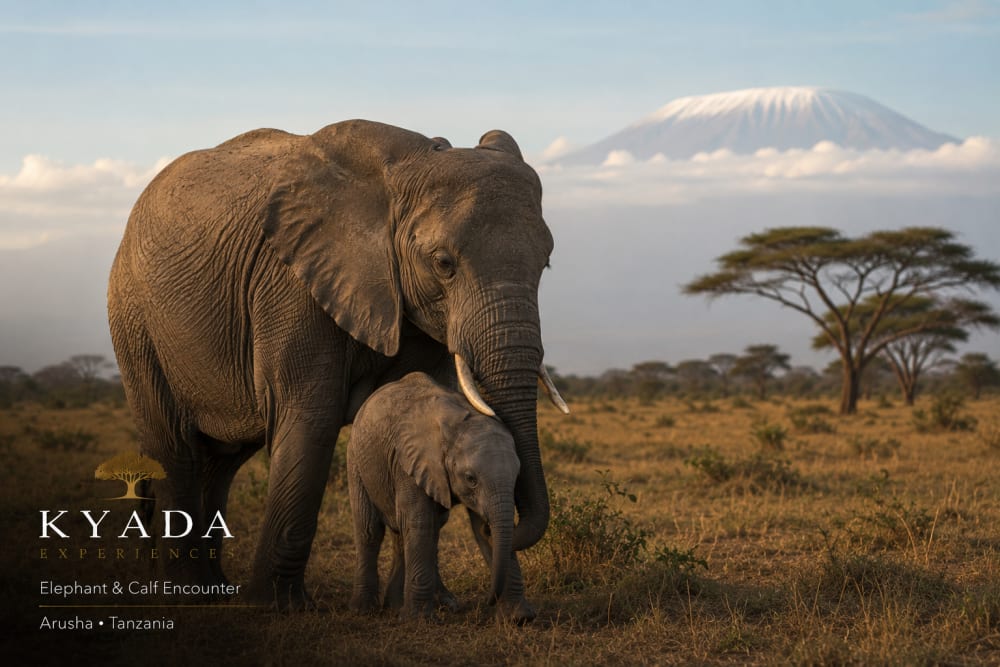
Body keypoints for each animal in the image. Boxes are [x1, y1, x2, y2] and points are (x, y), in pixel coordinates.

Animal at [348, 372, 531, 620]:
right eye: (470, 478)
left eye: (517, 476)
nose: (488, 601)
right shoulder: (409, 464)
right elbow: (419, 522)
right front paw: (417, 620)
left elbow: (475, 527)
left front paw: (520, 618)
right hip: (356, 460)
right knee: (370, 530)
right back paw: (363, 610)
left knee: (407, 533)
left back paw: (394, 606)